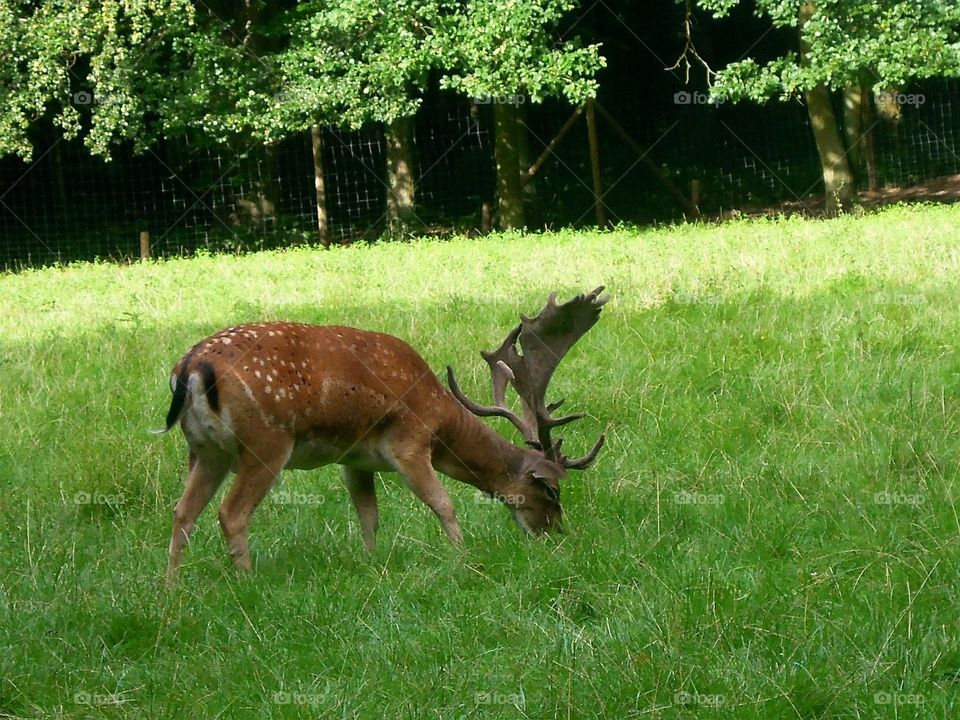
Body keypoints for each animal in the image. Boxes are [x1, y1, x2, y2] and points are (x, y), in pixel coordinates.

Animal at [155, 287, 607, 580]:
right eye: (551, 491)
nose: (555, 534)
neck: (442, 415)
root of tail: (191, 367)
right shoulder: (409, 442)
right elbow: (442, 503)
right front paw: (463, 556)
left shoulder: (354, 459)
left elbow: (368, 515)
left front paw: (372, 564)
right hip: (266, 441)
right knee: (231, 513)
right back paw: (247, 582)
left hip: (205, 450)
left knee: (182, 511)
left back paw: (171, 589)